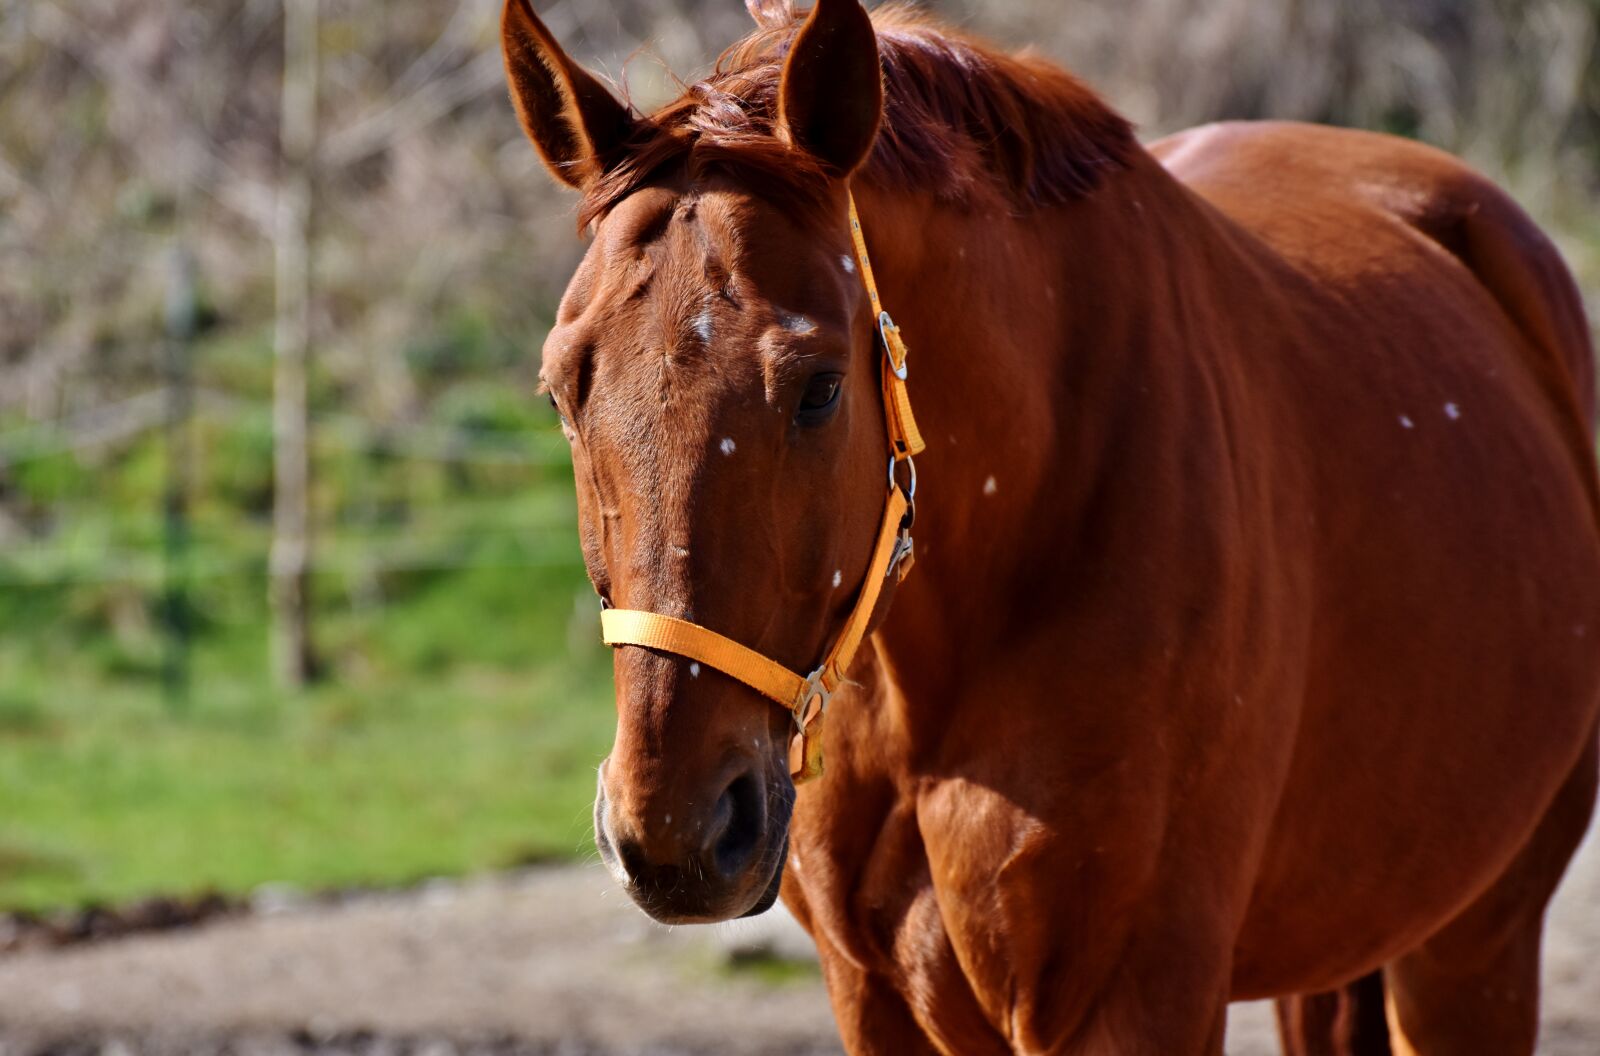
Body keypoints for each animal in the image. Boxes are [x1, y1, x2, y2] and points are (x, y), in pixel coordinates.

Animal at [499, 0, 1600, 1052]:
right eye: (561, 391)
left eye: (818, 388)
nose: (676, 830)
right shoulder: (873, 999)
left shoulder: (1134, 998)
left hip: (1473, 947)